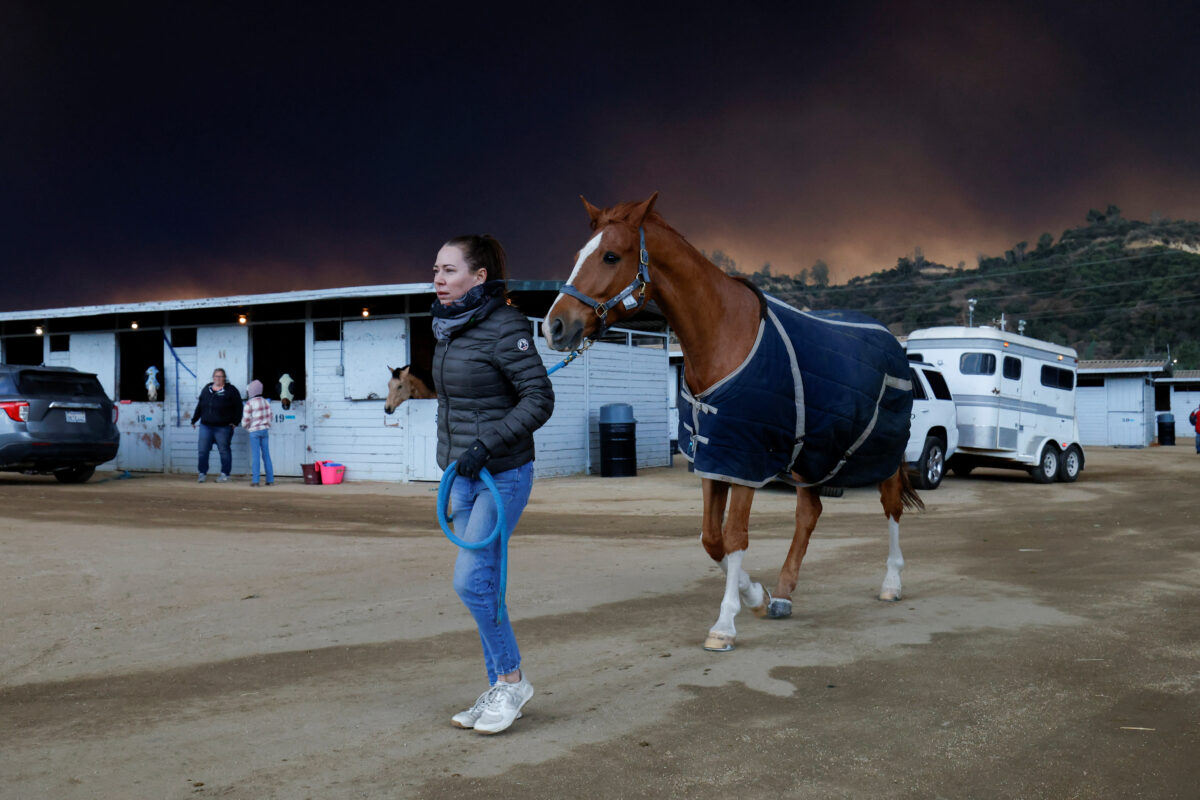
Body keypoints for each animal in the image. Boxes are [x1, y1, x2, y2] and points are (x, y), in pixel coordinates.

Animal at [544, 191, 926, 652]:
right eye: (577, 255)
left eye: (611, 256)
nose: (554, 326)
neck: (723, 336)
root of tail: (892, 342)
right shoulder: (715, 456)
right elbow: (712, 539)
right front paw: (757, 596)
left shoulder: (746, 457)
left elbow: (735, 536)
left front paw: (725, 624)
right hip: (812, 454)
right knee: (809, 512)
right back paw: (783, 594)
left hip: (882, 451)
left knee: (891, 506)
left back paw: (891, 582)